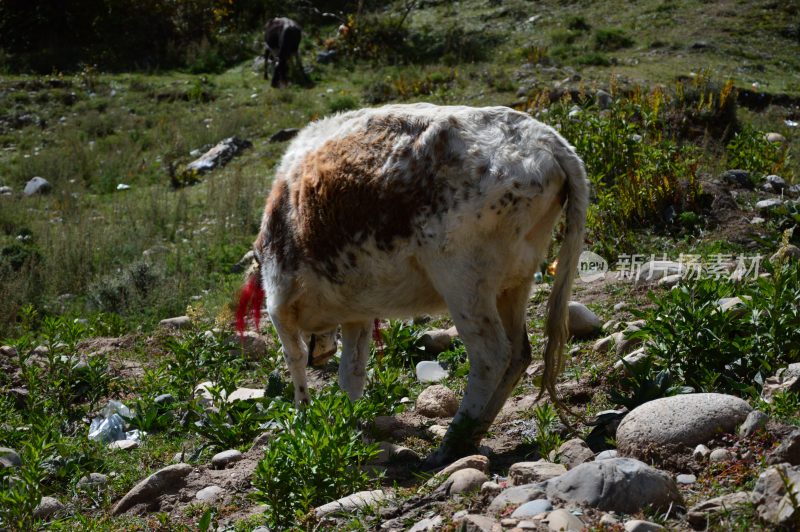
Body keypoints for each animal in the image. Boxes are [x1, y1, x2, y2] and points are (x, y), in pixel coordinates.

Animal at [238, 104, 588, 466]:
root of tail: (543, 136)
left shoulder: (279, 302)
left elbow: (293, 359)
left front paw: (305, 419)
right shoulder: (357, 313)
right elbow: (352, 372)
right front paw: (344, 426)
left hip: (463, 281)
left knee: (491, 354)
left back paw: (451, 444)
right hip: (514, 282)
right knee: (519, 353)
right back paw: (473, 435)